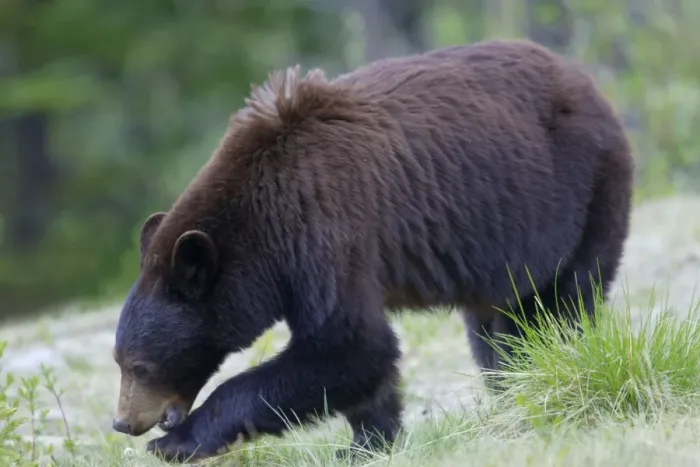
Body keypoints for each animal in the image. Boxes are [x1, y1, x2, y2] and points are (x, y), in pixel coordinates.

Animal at [111, 38, 634, 463]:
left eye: (140, 364)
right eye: (120, 360)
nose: (123, 422)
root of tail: (585, 80)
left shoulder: (325, 229)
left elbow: (350, 346)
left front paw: (176, 443)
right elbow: (361, 361)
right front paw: (367, 442)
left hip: (583, 192)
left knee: (563, 299)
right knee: (495, 326)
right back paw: (512, 386)